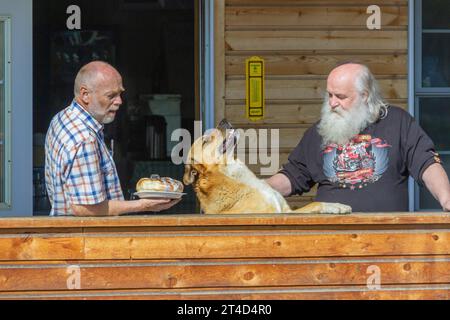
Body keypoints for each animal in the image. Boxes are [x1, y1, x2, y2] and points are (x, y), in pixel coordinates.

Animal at [183, 120, 352, 215]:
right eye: (205, 141)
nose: (223, 120)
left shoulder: (285, 210)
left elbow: (314, 204)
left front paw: (336, 205)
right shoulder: (274, 213)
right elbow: (311, 205)